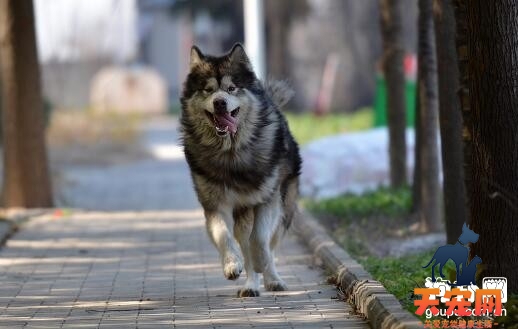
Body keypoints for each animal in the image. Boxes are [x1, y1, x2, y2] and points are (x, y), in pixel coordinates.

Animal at [181, 43, 302, 298]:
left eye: (231, 88)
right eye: (208, 90)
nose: (219, 102)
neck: (231, 153)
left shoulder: (267, 199)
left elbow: (260, 239)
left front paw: (261, 261)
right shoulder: (214, 204)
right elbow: (223, 235)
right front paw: (231, 265)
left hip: (284, 208)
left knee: (270, 245)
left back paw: (272, 278)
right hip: (242, 216)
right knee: (243, 242)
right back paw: (250, 286)